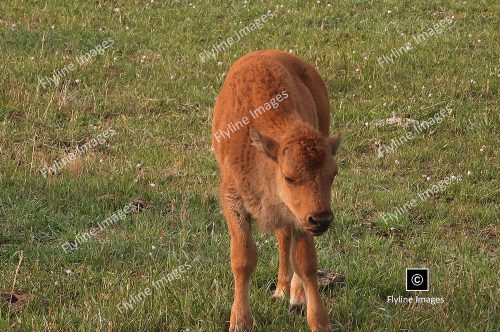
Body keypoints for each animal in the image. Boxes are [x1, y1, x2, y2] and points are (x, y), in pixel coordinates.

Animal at [211, 49, 340, 332]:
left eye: (333, 174)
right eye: (289, 177)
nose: (322, 220)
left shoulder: (300, 217)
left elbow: (306, 263)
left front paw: (317, 320)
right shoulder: (233, 201)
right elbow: (243, 258)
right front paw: (240, 321)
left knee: (287, 240)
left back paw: (293, 296)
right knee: (282, 237)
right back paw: (281, 290)